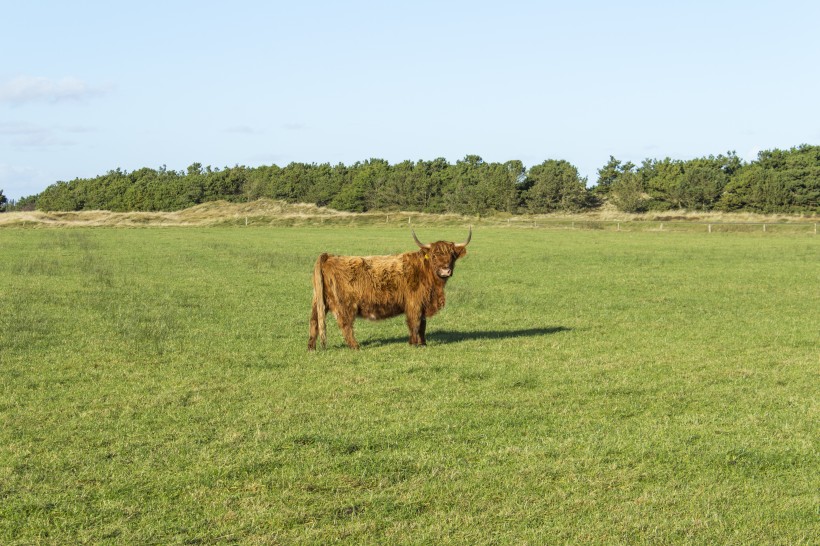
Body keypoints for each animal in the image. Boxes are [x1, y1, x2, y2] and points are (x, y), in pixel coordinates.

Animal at [310, 228, 474, 348]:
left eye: (452, 255)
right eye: (434, 256)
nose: (445, 270)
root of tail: (329, 256)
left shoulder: (423, 303)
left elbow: (423, 324)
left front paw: (423, 343)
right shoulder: (414, 303)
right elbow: (415, 323)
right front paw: (414, 344)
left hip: (319, 301)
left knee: (314, 321)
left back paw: (311, 348)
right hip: (346, 305)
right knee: (345, 325)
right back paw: (356, 346)